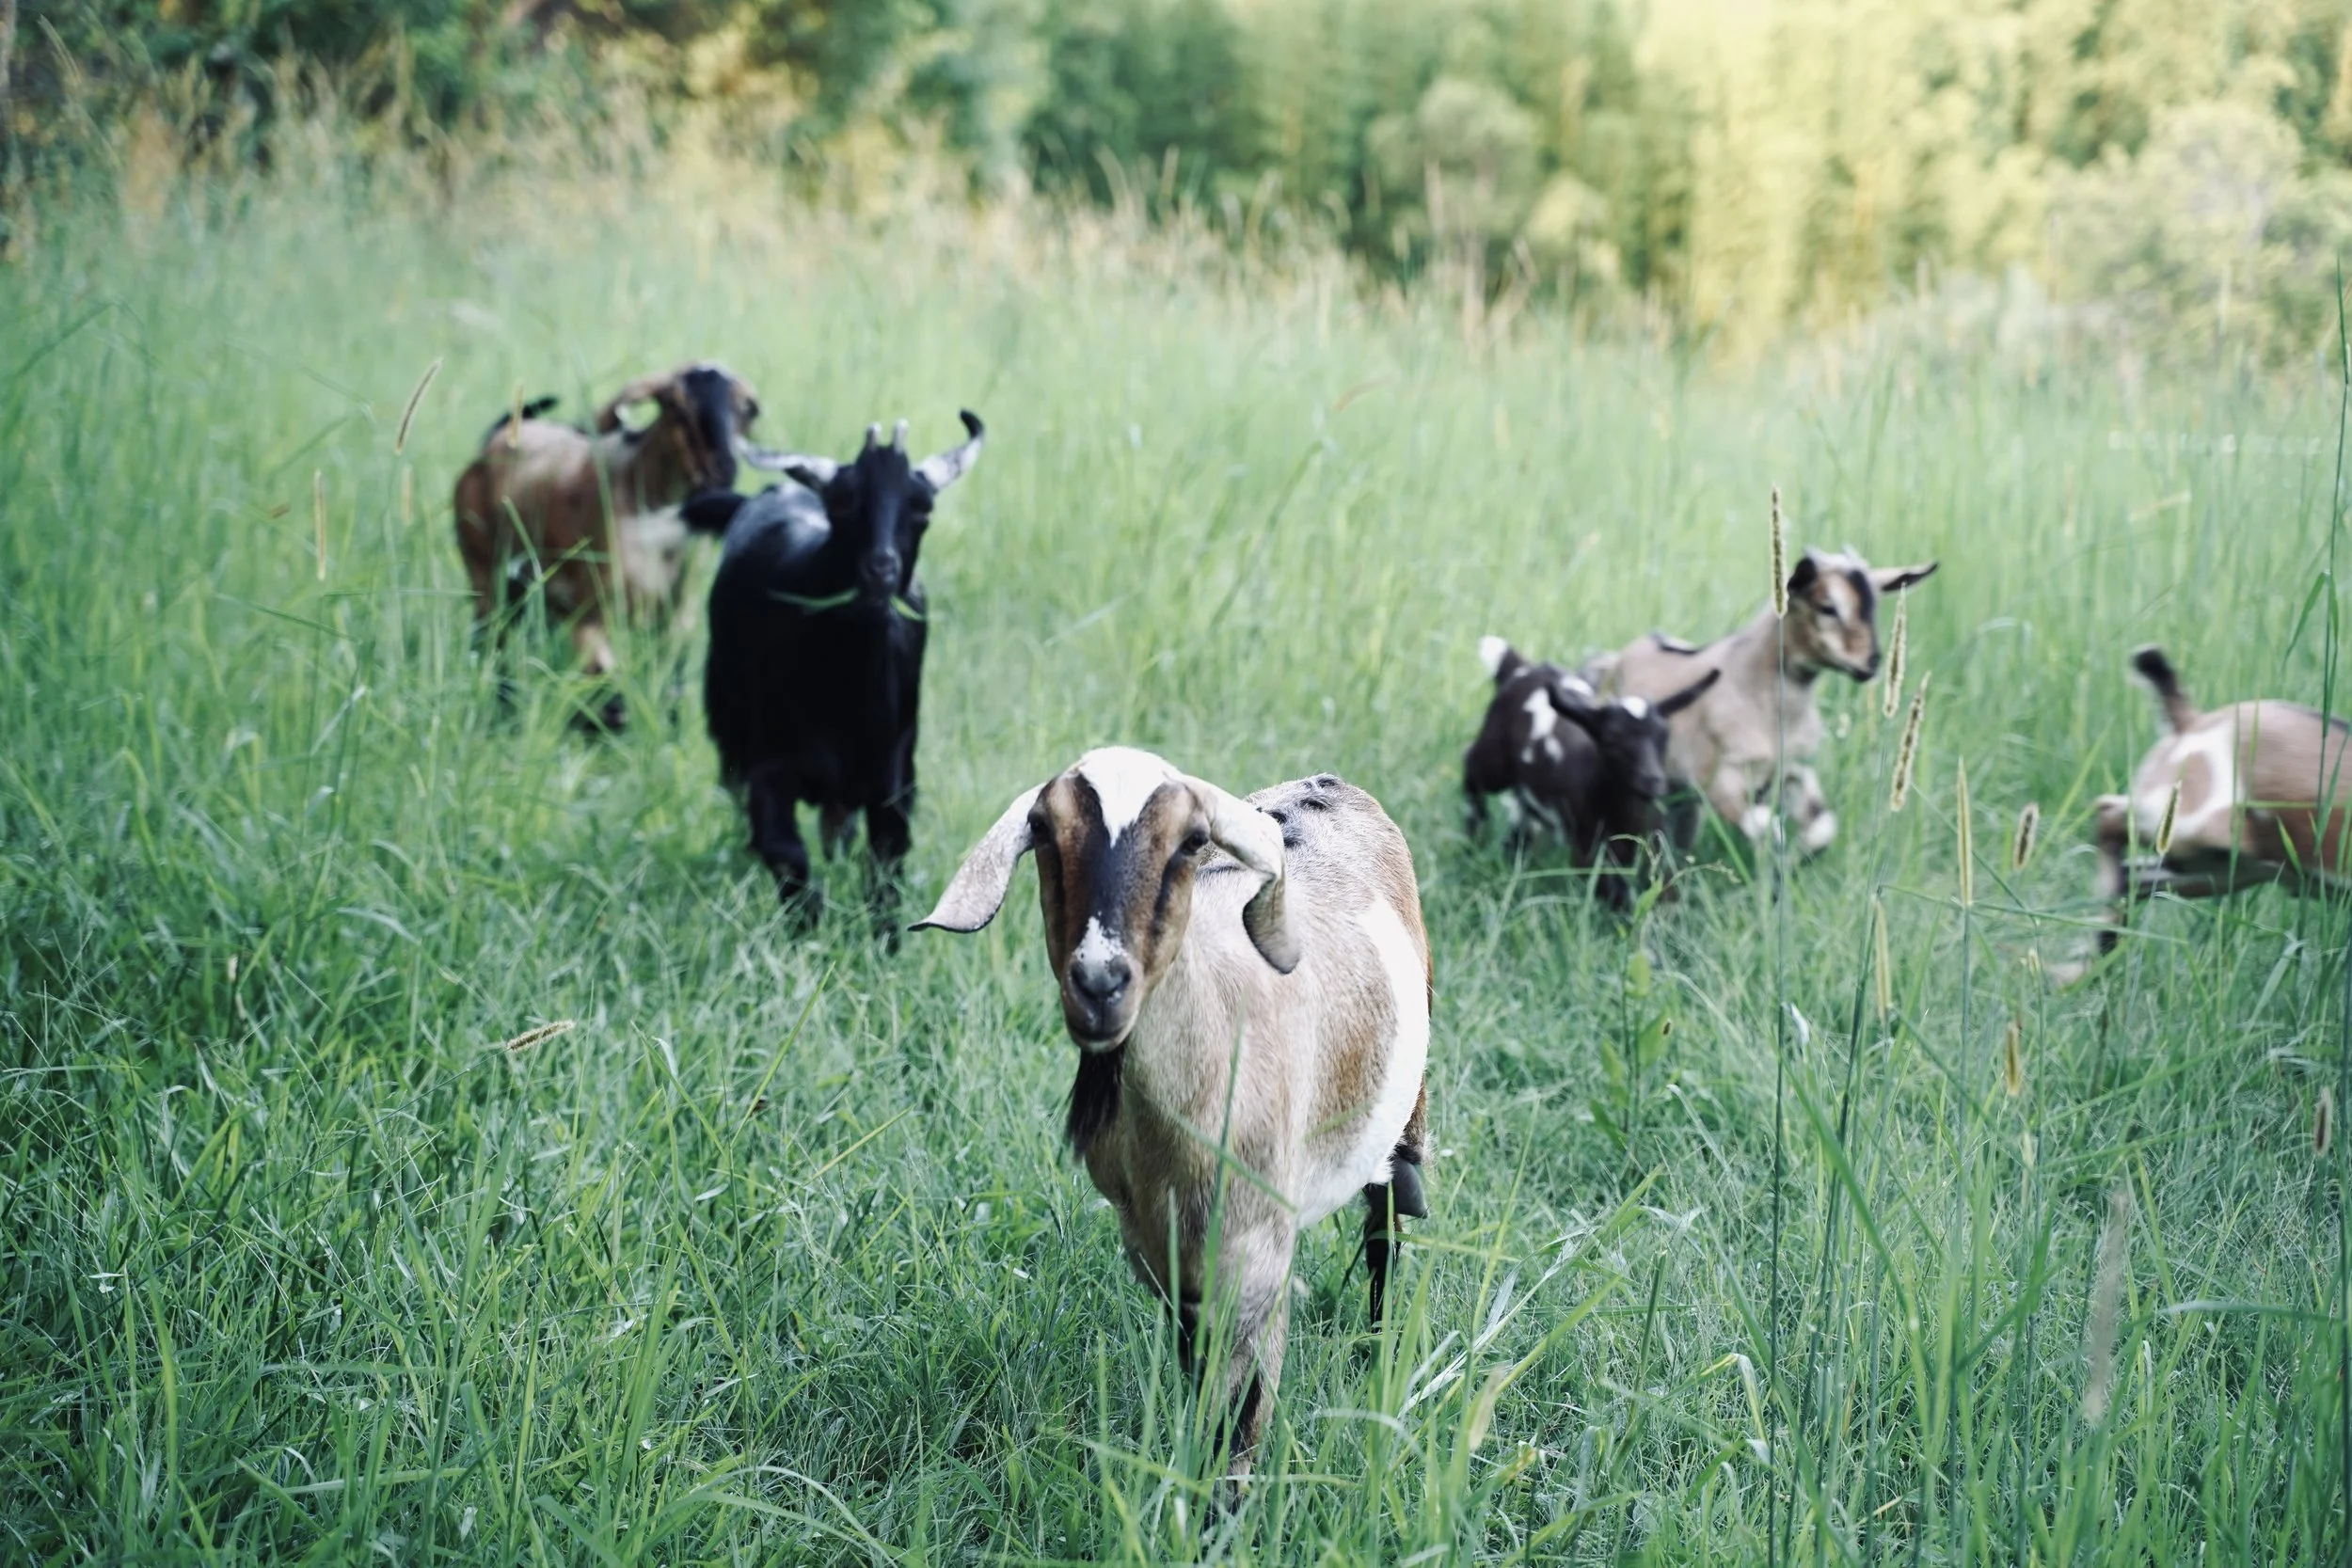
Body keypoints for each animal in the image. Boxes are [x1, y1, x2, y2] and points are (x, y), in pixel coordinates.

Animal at [451, 361, 759, 729]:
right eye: (673, 404)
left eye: (746, 409)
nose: (721, 470)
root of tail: (497, 440)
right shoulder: (591, 613)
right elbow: (611, 694)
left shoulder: (676, 618)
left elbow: (672, 688)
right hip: (486, 580)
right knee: (489, 643)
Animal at [695, 412, 983, 924]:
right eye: (843, 502)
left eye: (922, 510)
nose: (880, 570)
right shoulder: (769, 767)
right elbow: (784, 851)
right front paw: (805, 931)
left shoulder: (895, 780)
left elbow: (886, 869)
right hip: (725, 712)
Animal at [913, 749, 1431, 1472]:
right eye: (1042, 829)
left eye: (1191, 840)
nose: (1099, 982)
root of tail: (1324, 781)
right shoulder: (1159, 1250)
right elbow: (1198, 1378)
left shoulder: (1257, 1260)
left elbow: (1238, 1426)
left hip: (1405, 1113)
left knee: (1386, 1223)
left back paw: (1379, 1348)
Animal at [1464, 637, 1720, 906]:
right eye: (1611, 739)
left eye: (1664, 735)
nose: (1653, 780)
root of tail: (1523, 669)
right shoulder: (1587, 847)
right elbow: (1612, 891)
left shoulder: (1654, 842)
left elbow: (1664, 886)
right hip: (1495, 756)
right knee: (1472, 766)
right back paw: (1475, 833)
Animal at [1585, 549, 1936, 856]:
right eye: (1827, 607)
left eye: (1874, 606)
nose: (1871, 663)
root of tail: (1613, 662)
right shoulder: (1721, 780)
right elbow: (1767, 831)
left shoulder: (1791, 769)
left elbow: (1820, 828)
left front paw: (1798, 861)